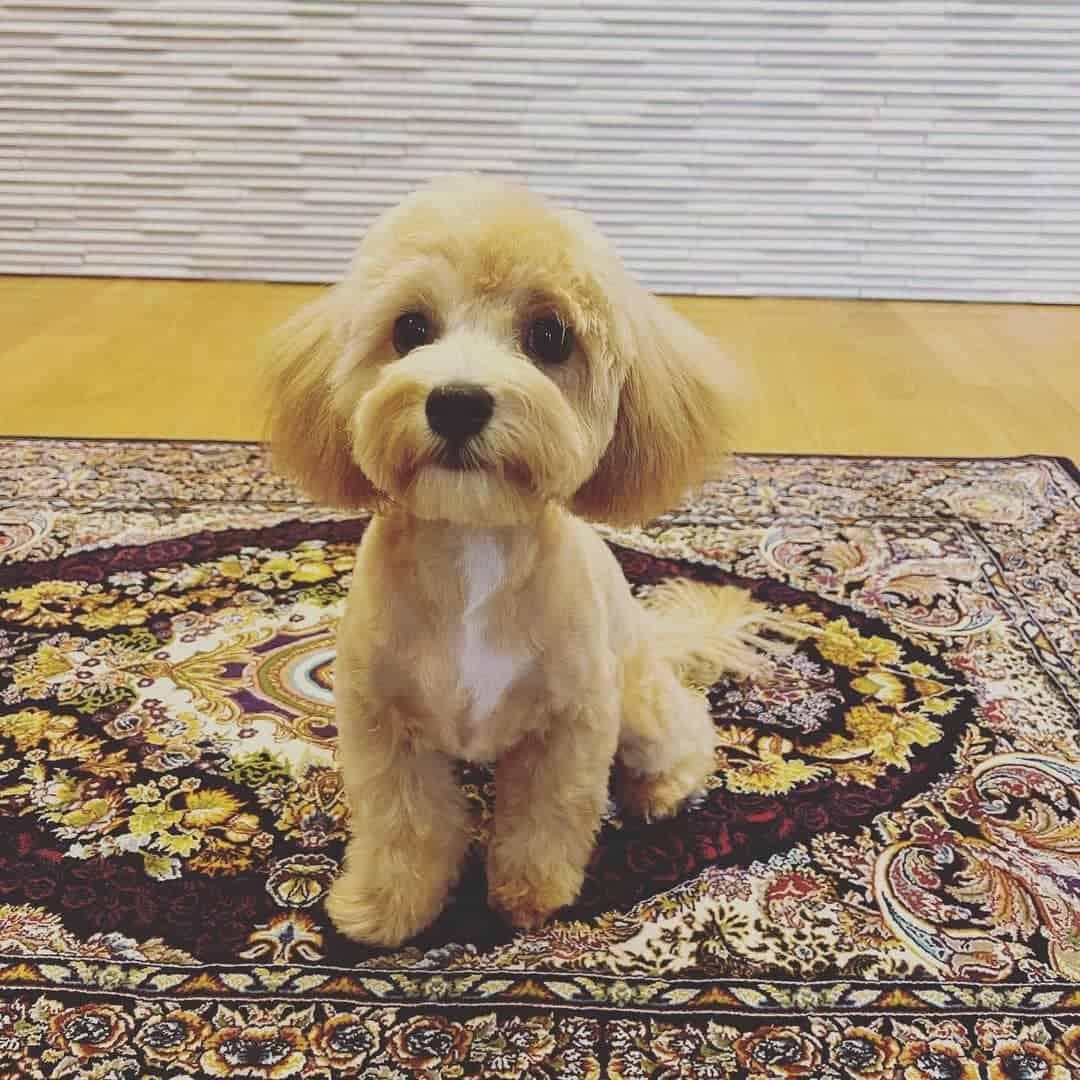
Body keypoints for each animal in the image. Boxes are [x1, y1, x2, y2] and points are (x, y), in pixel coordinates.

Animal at [264, 174, 781, 946]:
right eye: (410, 329)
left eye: (550, 335)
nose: (456, 402)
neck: (473, 548)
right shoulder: (382, 721)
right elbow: (403, 825)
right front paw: (386, 906)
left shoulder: (572, 722)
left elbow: (547, 816)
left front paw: (529, 897)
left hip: (639, 702)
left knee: (686, 727)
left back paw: (661, 788)